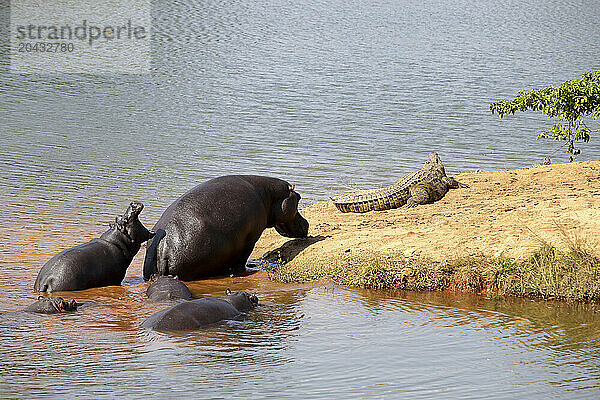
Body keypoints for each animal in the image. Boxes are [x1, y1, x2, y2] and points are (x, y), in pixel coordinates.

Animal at [142, 175, 308, 282]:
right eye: (298, 197)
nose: (307, 223)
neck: (270, 195)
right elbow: (243, 257)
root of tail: (163, 247)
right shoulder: (251, 238)